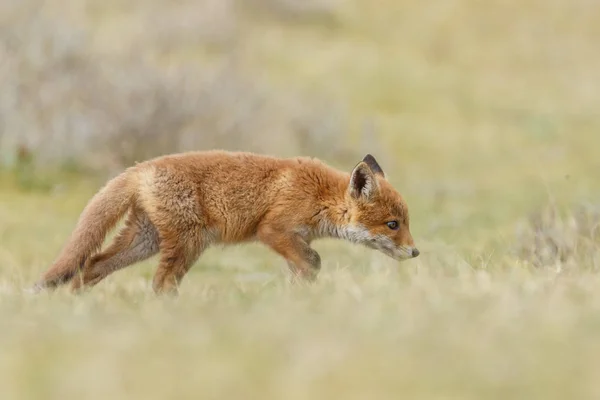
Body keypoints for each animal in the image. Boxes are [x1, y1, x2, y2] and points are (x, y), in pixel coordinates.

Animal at [31, 150, 418, 294]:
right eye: (393, 224)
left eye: (404, 222)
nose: (415, 253)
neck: (319, 195)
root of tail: (140, 168)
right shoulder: (273, 230)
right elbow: (314, 261)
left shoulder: (294, 239)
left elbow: (304, 267)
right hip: (187, 244)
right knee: (160, 283)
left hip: (145, 241)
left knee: (93, 263)